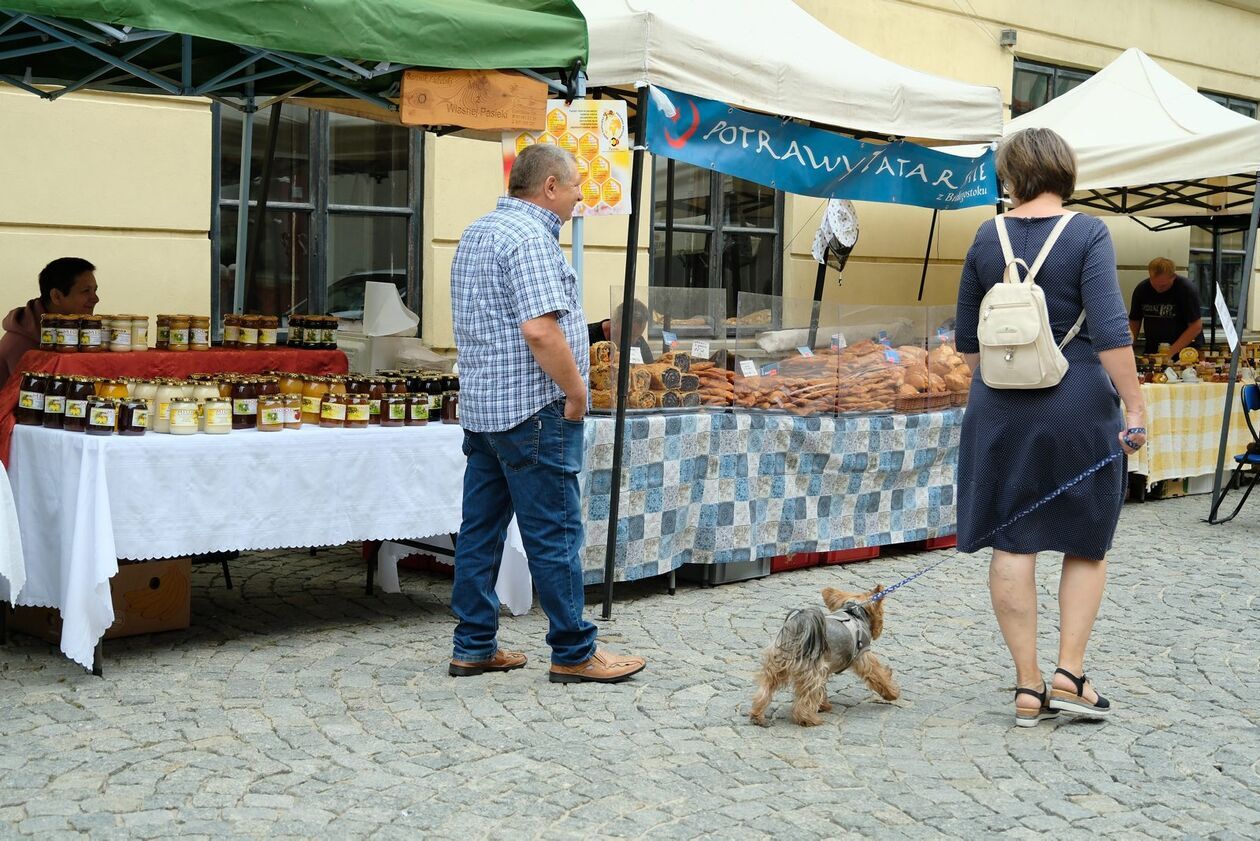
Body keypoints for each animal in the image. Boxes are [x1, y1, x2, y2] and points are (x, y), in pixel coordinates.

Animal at [745, 585, 897, 731]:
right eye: (881, 613)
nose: (879, 629)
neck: (854, 612)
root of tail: (799, 627)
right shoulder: (863, 656)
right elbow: (879, 675)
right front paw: (892, 693)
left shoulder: (825, 668)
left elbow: (822, 690)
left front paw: (823, 705)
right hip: (811, 671)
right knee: (805, 698)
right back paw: (808, 719)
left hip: (776, 666)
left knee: (764, 690)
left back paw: (757, 715)